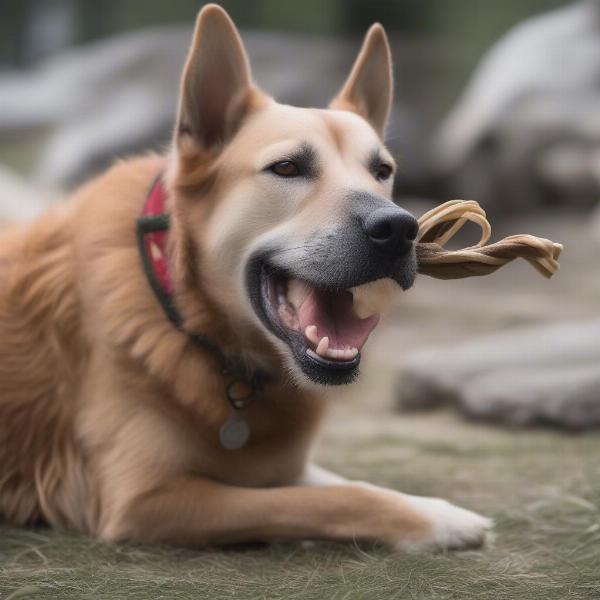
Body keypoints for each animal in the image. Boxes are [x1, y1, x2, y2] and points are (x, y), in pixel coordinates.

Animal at [0, 4, 492, 552]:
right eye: (287, 167)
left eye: (382, 171)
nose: (400, 228)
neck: (184, 316)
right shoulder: (145, 500)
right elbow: (331, 499)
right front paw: (433, 522)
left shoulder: (283, 465)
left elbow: (345, 482)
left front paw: (436, 510)